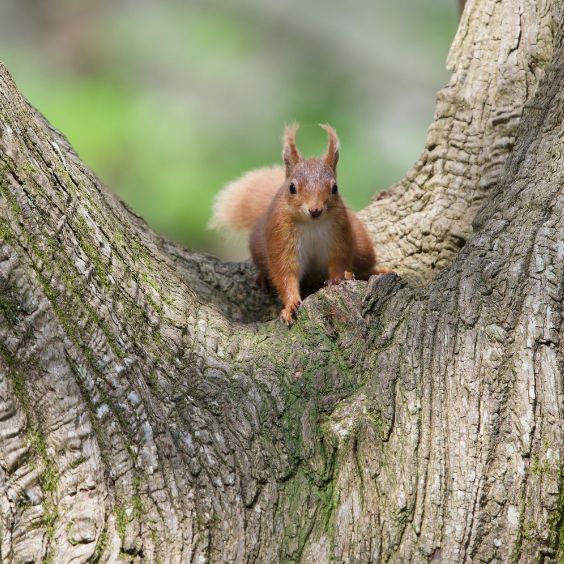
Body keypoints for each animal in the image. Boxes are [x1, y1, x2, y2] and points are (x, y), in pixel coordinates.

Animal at [209, 123, 390, 326]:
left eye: (335, 188)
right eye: (292, 187)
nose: (315, 210)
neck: (312, 224)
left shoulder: (341, 232)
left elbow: (339, 259)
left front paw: (339, 277)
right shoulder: (280, 237)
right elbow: (285, 272)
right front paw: (290, 305)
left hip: (363, 246)